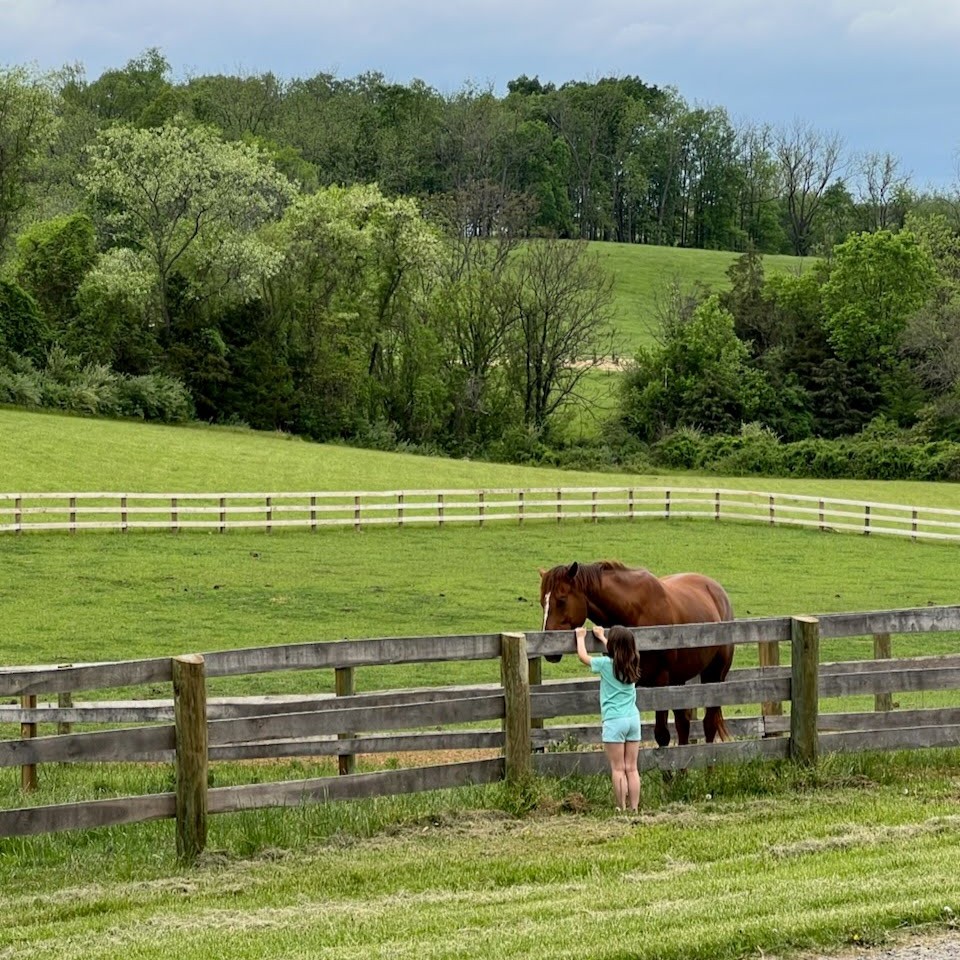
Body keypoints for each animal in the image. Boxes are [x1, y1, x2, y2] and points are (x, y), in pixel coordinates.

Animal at [538, 560, 735, 748]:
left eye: (562, 599)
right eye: (542, 602)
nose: (549, 651)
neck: (635, 613)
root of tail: (717, 590)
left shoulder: (661, 681)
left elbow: (662, 735)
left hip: (714, 676)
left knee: (709, 724)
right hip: (678, 680)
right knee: (683, 725)